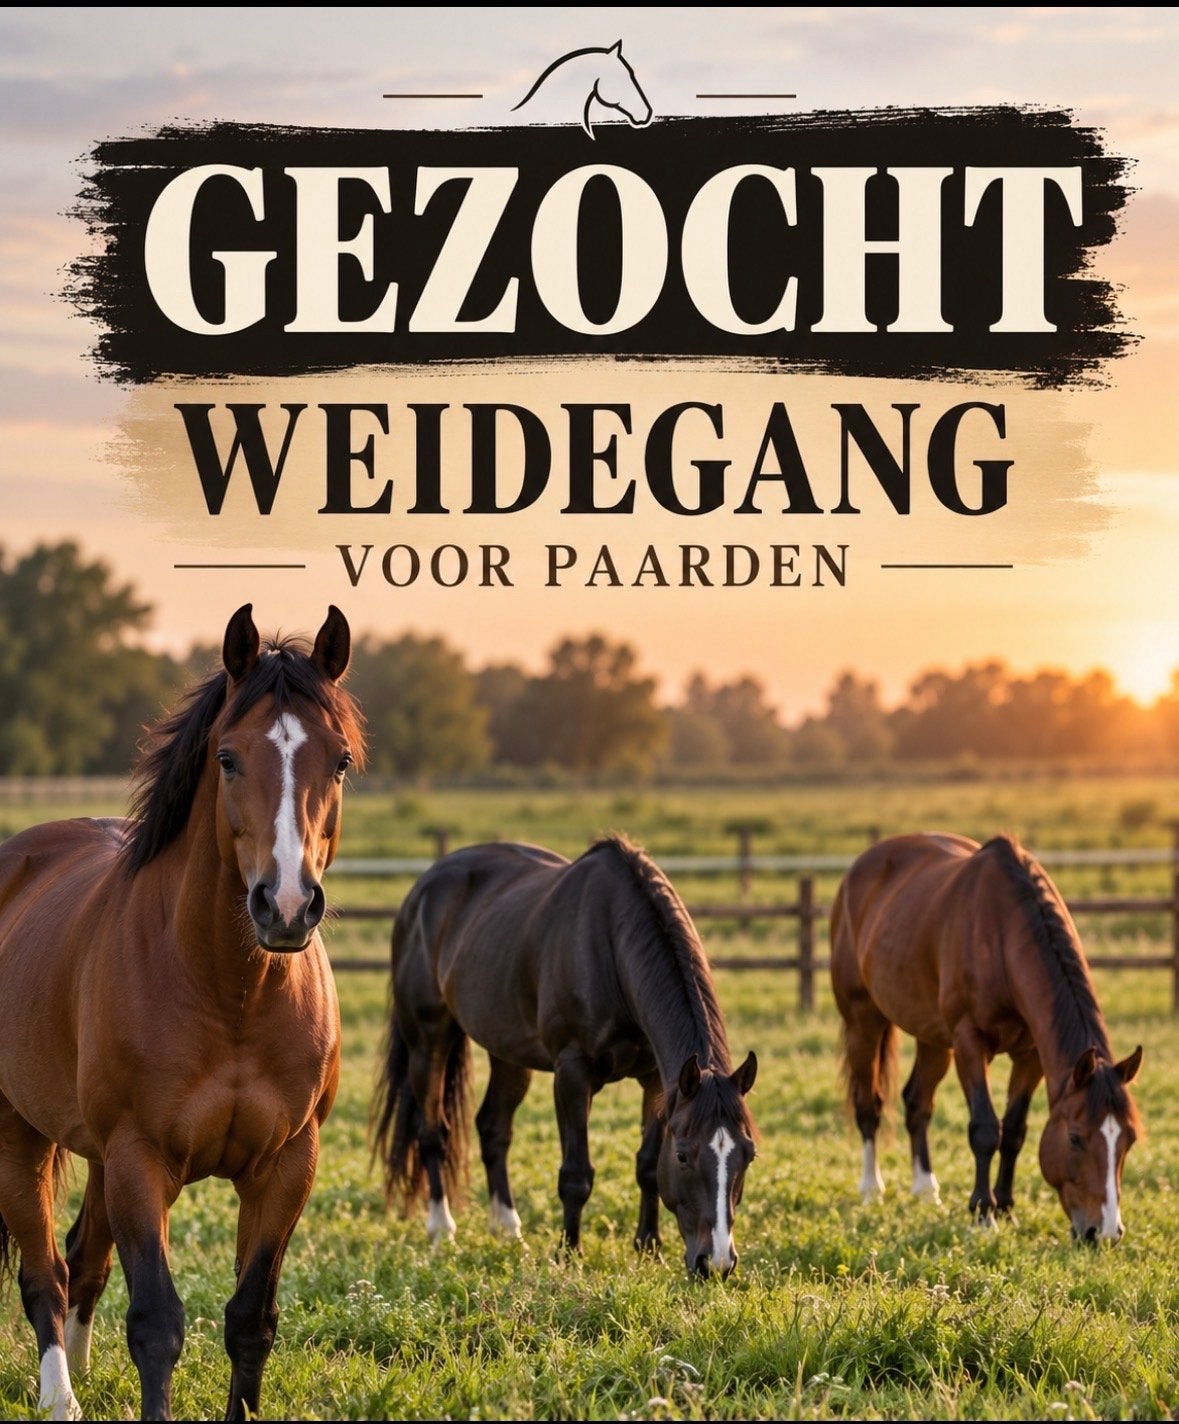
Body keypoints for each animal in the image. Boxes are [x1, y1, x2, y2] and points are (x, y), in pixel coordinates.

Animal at [0, 603, 364, 1421]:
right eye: (227, 759)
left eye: (339, 762)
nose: (285, 905)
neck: (230, 994)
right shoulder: (141, 1159)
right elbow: (158, 1322)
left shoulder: (286, 1167)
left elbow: (251, 1320)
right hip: (21, 1135)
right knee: (43, 1272)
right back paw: (60, 1396)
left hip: (95, 1154)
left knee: (83, 1260)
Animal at [372, 835, 758, 1277]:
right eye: (683, 1156)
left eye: (748, 1154)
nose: (717, 1263)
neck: (611, 947)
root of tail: (422, 888)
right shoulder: (572, 1074)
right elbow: (576, 1173)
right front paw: (568, 1254)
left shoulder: (657, 1080)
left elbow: (646, 1165)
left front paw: (648, 1247)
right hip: (428, 1041)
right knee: (432, 1132)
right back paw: (442, 1229)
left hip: (508, 1052)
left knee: (493, 1129)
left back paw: (509, 1230)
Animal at [829, 832, 1143, 1244]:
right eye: (1075, 1138)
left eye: (1130, 1138)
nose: (1104, 1232)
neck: (1001, 935)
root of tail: (858, 869)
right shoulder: (969, 1042)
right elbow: (985, 1129)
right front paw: (983, 1213)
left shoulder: (1030, 1055)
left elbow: (1014, 1131)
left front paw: (1006, 1208)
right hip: (863, 1023)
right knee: (869, 1105)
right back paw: (871, 1189)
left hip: (933, 1038)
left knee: (917, 1103)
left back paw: (926, 1190)